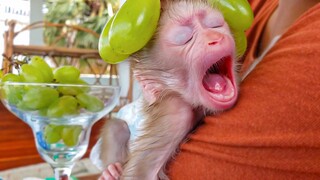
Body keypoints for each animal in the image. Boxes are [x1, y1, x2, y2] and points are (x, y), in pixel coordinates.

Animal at [96, 0, 239, 179]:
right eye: (185, 38)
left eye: (215, 25)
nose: (215, 39)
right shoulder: (175, 112)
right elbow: (141, 173)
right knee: (116, 127)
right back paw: (110, 170)